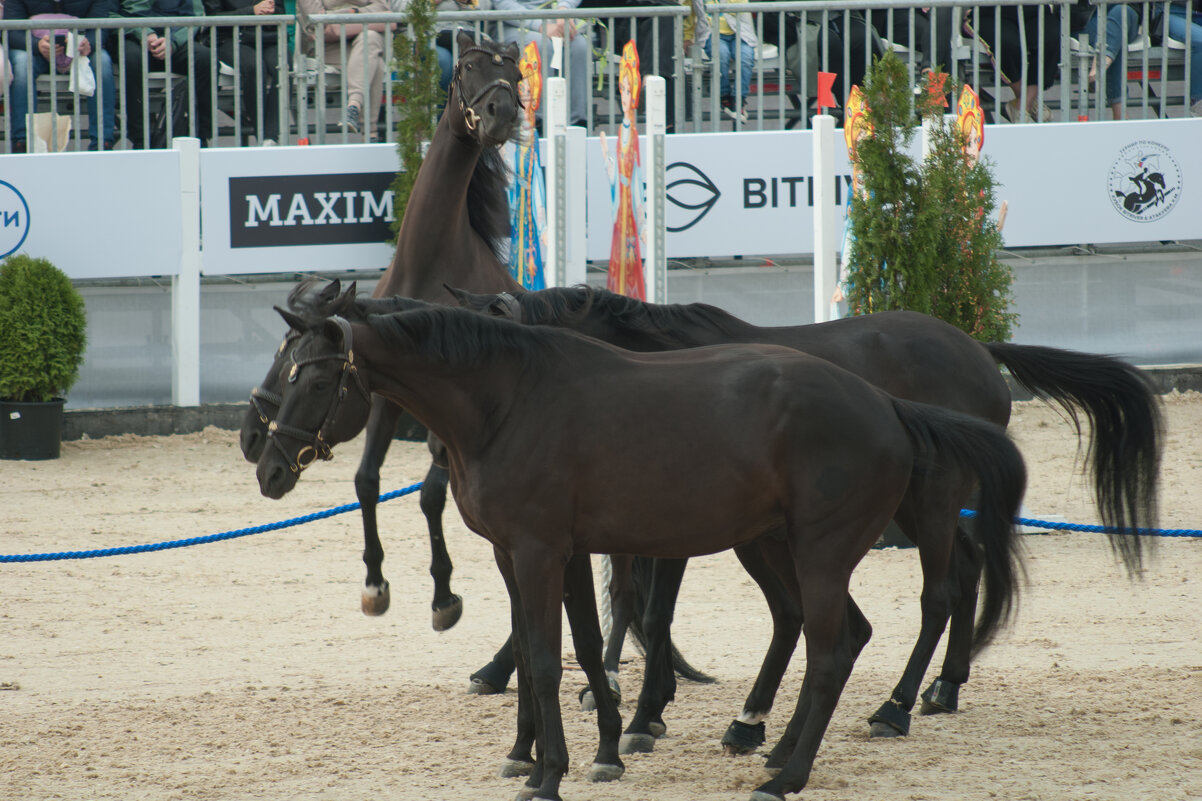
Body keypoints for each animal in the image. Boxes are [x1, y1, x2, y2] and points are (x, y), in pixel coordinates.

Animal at [258, 298, 1028, 798]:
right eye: (282, 369)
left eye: (318, 378)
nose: (268, 467)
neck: (507, 401)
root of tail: (886, 406)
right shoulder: (525, 553)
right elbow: (556, 648)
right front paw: (561, 752)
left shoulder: (540, 550)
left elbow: (548, 660)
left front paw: (552, 774)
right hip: (785, 547)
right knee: (834, 636)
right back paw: (772, 742)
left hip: (824, 551)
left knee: (848, 643)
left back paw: (798, 767)